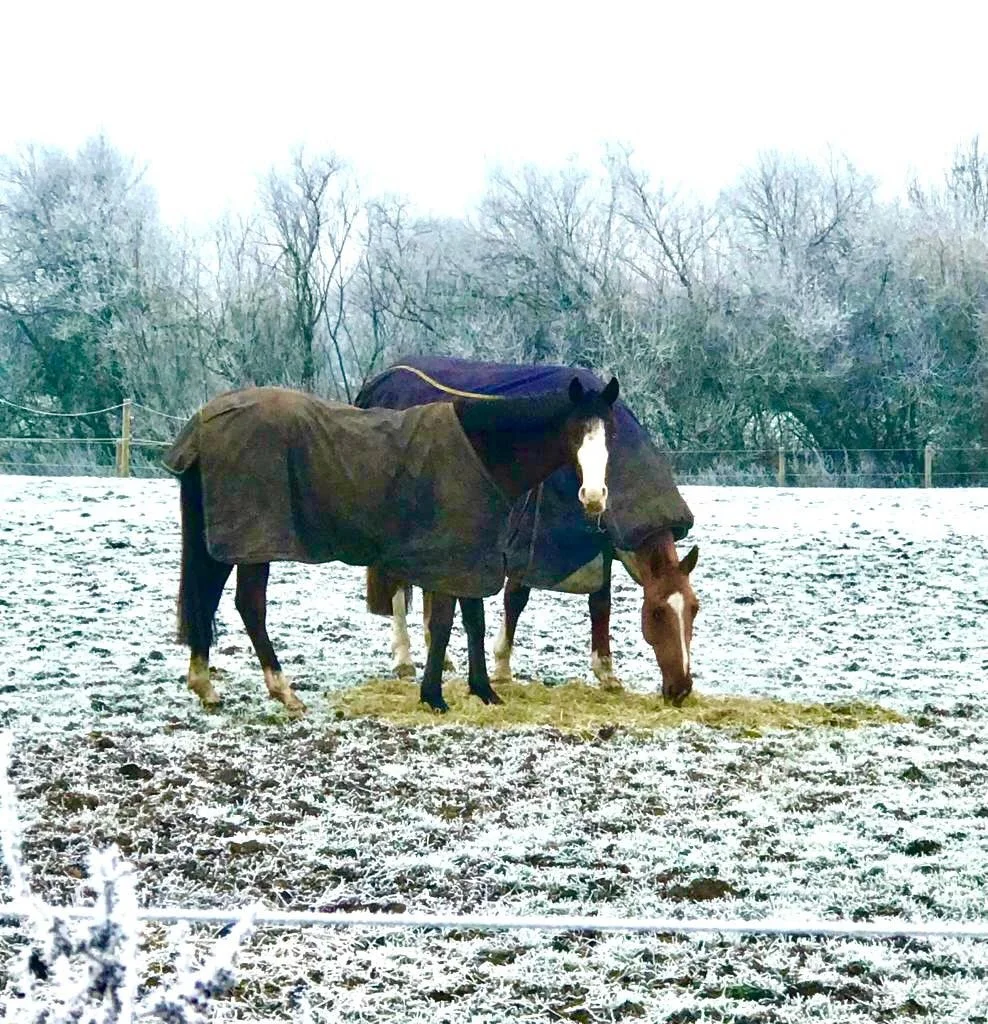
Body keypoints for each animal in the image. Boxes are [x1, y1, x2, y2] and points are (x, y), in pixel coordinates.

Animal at [163, 377, 619, 715]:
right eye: (575, 432)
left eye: (610, 433)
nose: (595, 497)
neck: (482, 451)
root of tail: (205, 421)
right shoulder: (449, 557)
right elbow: (444, 624)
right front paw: (433, 696)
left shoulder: (472, 555)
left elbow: (474, 621)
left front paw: (483, 691)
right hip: (254, 544)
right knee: (249, 606)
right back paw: (283, 691)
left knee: (208, 597)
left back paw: (205, 685)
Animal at [356, 356, 698, 705]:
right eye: (657, 613)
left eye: (694, 610)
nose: (681, 688)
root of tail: (387, 376)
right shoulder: (527, 541)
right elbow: (516, 598)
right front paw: (502, 665)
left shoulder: (599, 544)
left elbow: (600, 604)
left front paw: (607, 673)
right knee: (398, 585)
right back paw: (404, 659)